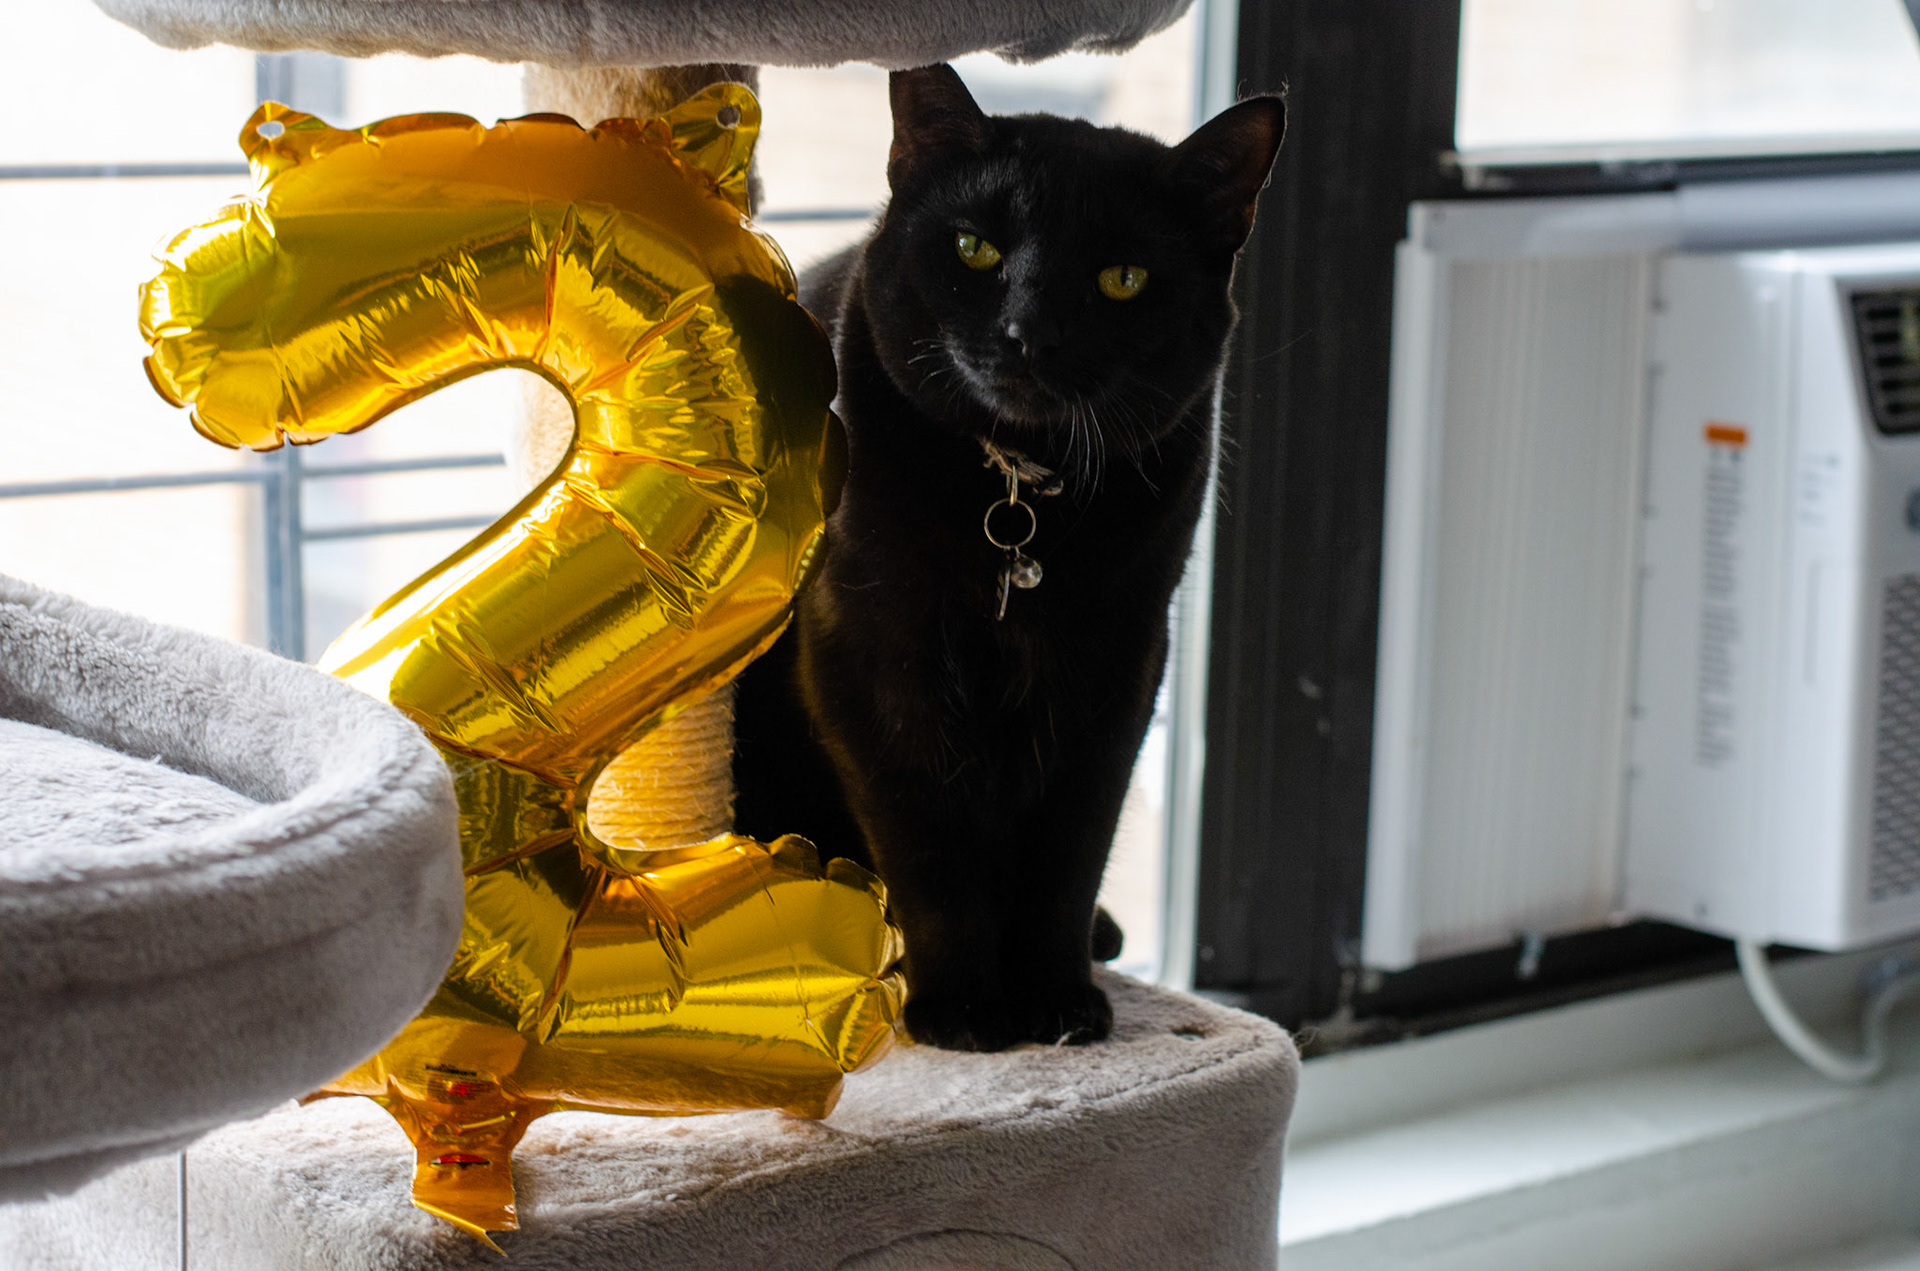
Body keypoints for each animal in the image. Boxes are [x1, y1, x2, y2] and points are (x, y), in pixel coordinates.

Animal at [731, 64, 1284, 1052]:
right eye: (974, 248)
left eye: (1122, 279)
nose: (1030, 332)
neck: (1018, 490)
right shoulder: (871, 651)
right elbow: (928, 846)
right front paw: (962, 1010)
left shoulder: (1118, 660)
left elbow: (1070, 846)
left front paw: (1057, 998)